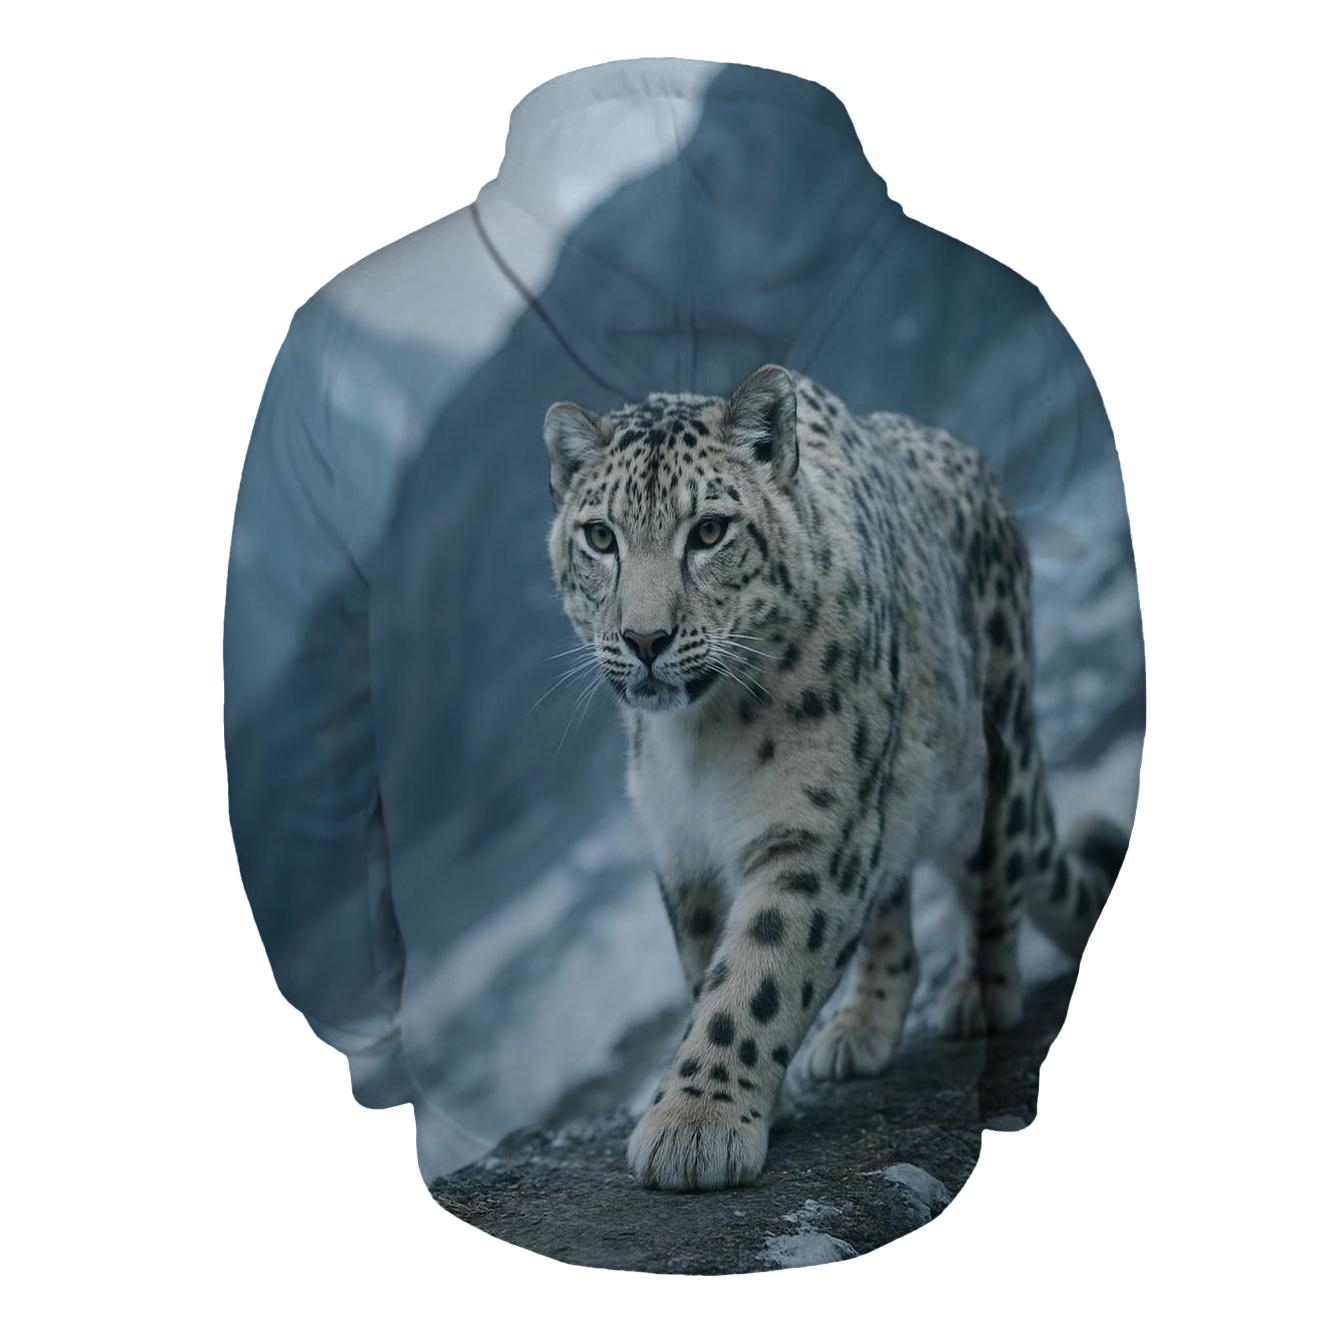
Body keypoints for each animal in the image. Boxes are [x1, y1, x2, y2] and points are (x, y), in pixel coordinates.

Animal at [542, 363, 1127, 1191]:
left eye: (709, 530)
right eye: (600, 536)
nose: (644, 638)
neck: (700, 743)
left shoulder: (812, 828)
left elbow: (758, 972)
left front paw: (695, 1124)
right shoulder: (680, 846)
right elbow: (704, 965)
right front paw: (753, 1103)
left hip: (992, 762)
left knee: (995, 882)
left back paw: (977, 996)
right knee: (891, 915)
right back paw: (859, 1030)